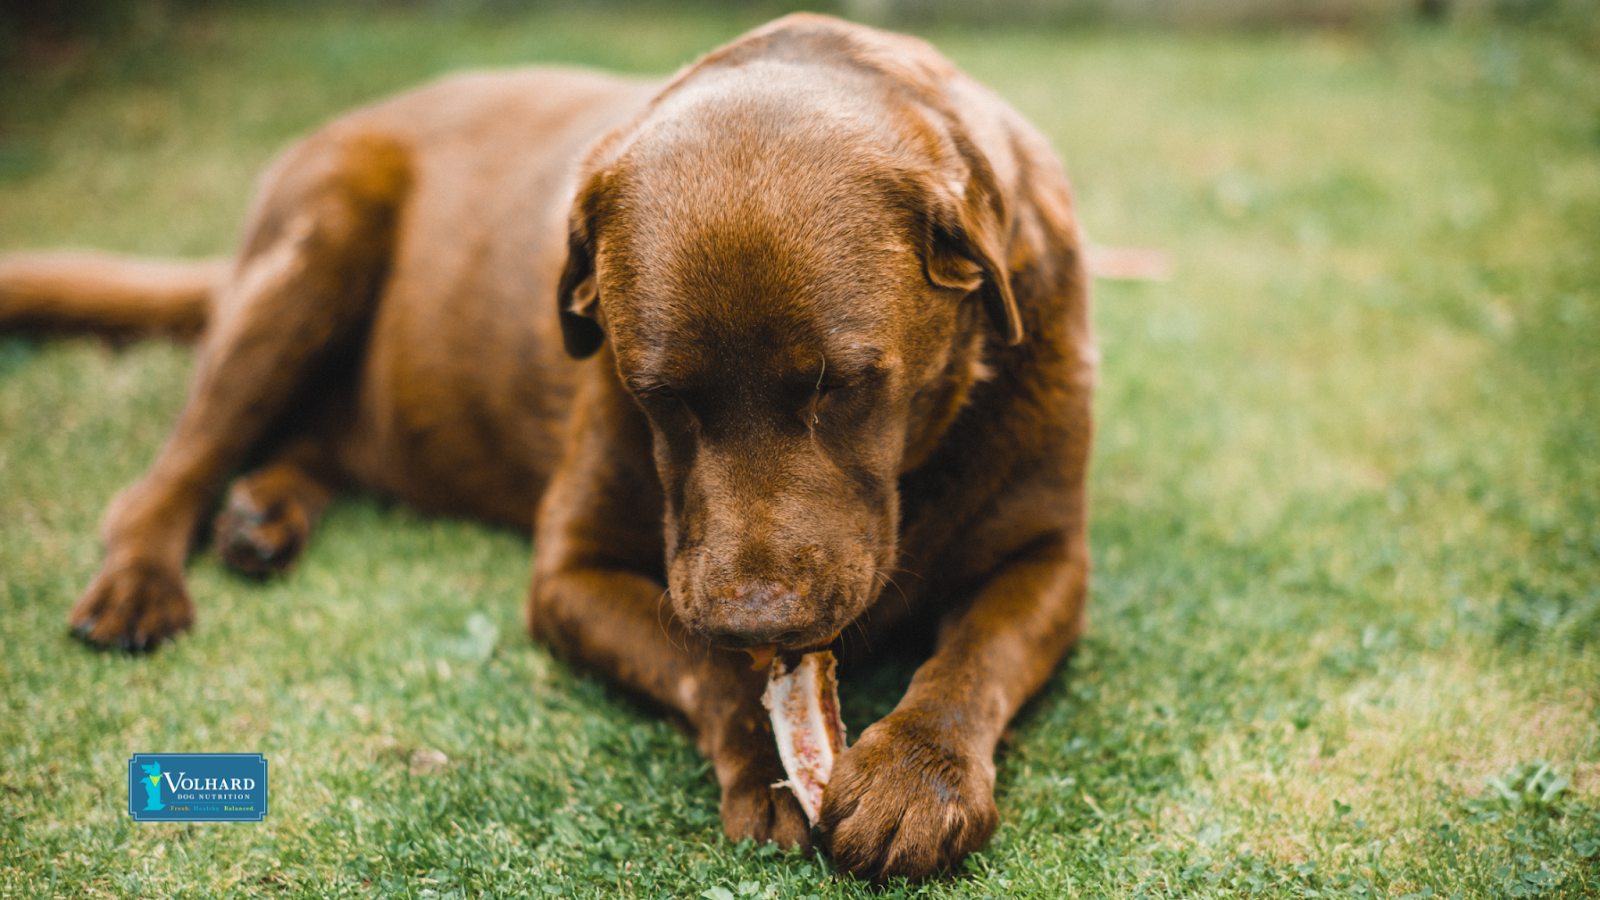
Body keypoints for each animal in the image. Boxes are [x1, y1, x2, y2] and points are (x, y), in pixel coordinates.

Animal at [0, 14, 1094, 877]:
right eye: (659, 396)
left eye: (847, 386)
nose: (754, 620)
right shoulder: (570, 571)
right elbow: (696, 664)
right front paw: (768, 763)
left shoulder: (1051, 558)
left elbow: (976, 658)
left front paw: (916, 776)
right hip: (317, 245)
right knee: (167, 474)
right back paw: (143, 583)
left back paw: (261, 516)